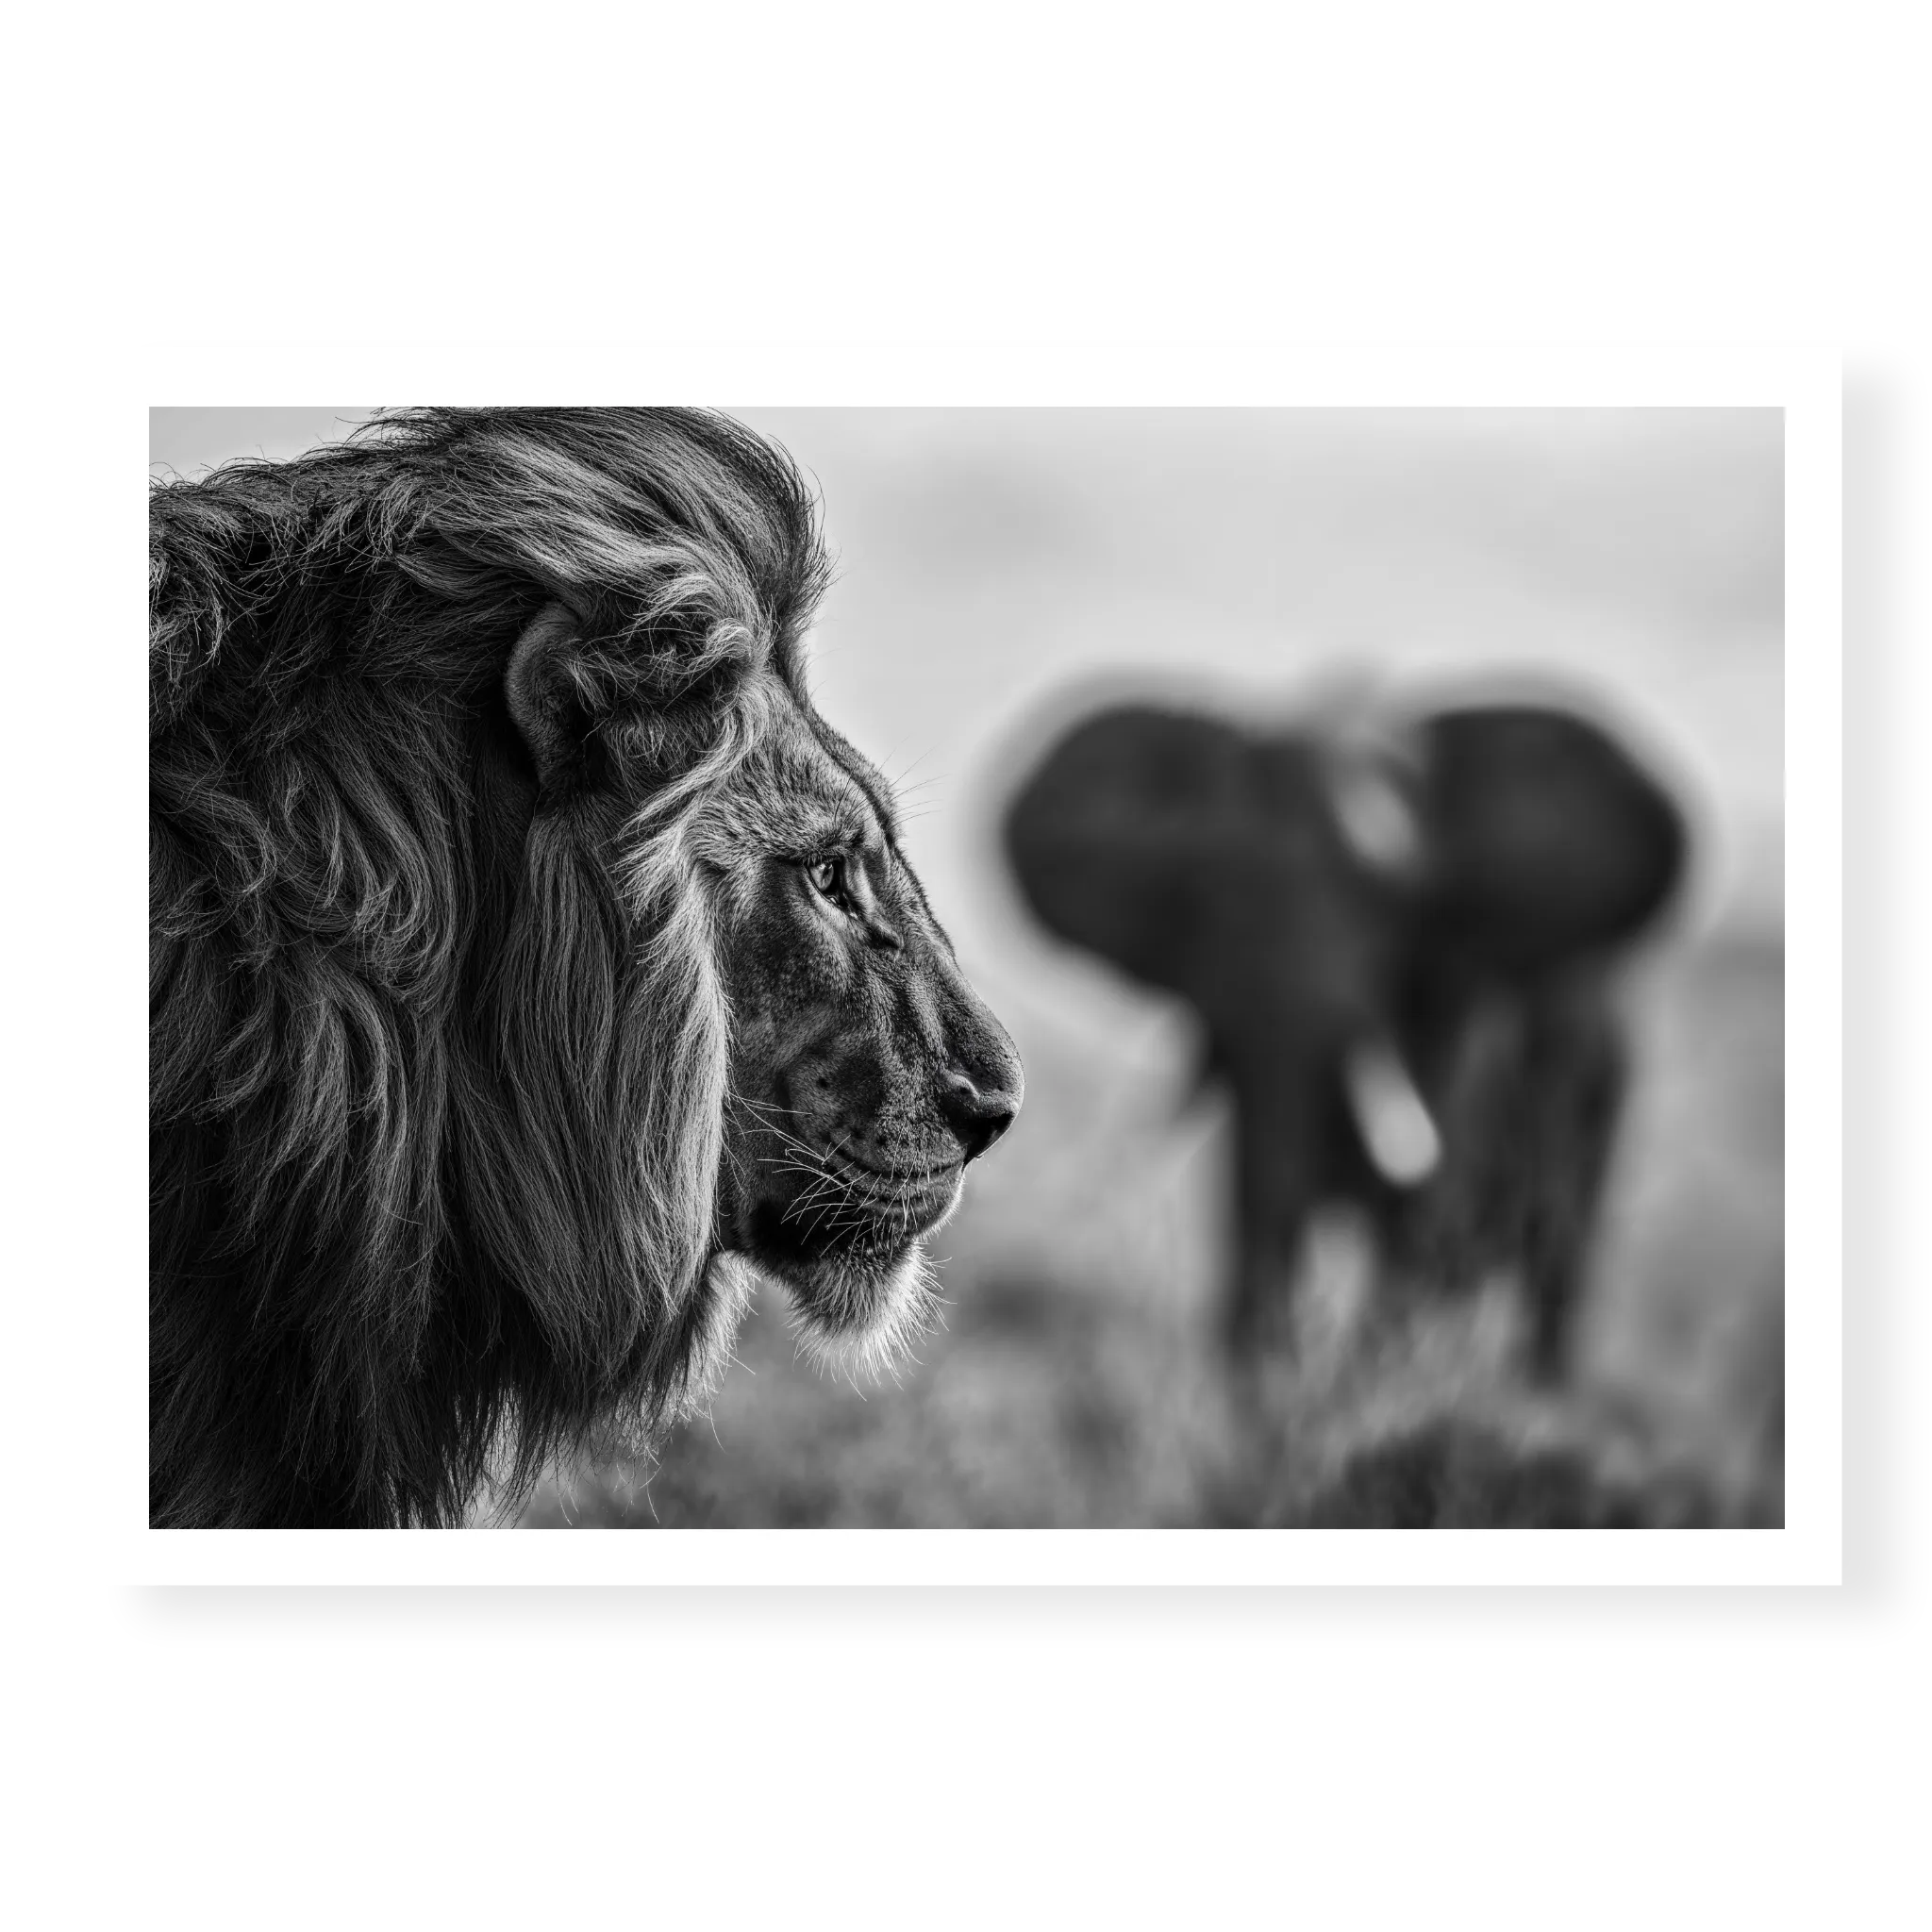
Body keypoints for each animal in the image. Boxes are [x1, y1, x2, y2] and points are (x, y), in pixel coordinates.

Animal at [1002, 687, 1689, 1384]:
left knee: (1555, 1246)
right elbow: (1253, 1188)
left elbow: (1418, 1218)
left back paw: (1531, 1388)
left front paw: (1364, 1383)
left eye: (1396, 901)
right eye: (1200, 890)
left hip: (1602, 1080)